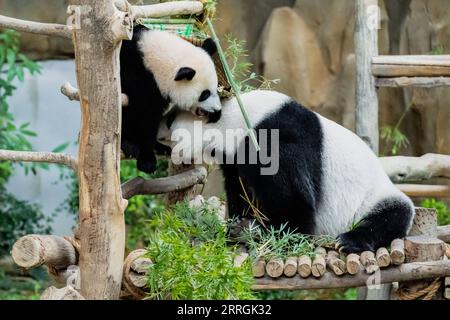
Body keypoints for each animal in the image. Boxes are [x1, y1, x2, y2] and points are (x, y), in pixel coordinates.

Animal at [120, 26, 221, 174]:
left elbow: (152, 118)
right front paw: (144, 157)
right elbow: (138, 113)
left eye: (216, 88)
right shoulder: (136, 77)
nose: (217, 109)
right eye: (204, 94)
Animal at [158, 89, 414, 252]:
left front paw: (276, 233)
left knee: (391, 216)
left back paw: (349, 241)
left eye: (169, 120)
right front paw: (239, 224)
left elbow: (293, 199)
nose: (154, 136)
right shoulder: (236, 158)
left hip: (374, 198)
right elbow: (240, 189)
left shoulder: (275, 140)